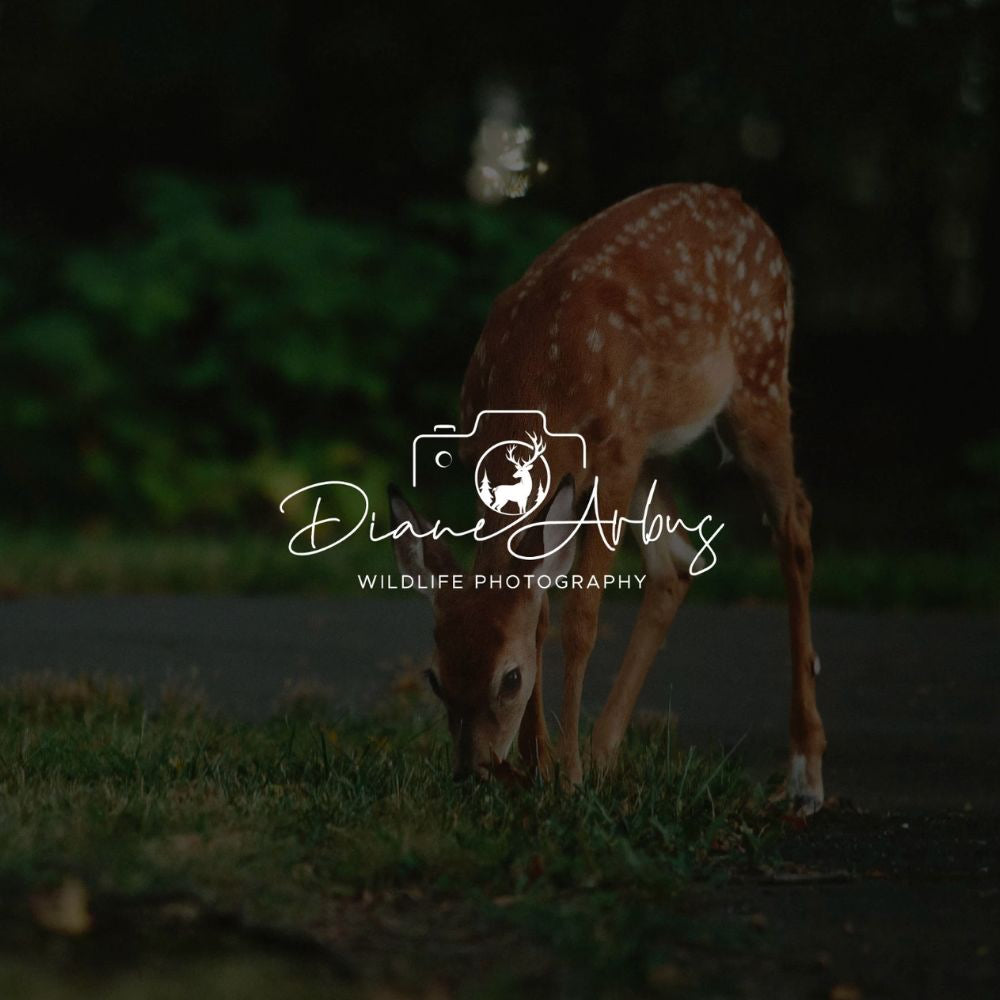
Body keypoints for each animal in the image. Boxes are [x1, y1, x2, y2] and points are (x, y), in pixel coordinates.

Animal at [390, 182, 826, 814]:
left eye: (510, 679)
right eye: (435, 678)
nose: (473, 773)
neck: (537, 380)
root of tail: (744, 207)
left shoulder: (613, 456)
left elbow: (580, 620)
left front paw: (565, 778)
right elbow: (540, 613)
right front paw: (541, 767)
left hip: (759, 375)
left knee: (794, 525)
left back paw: (805, 774)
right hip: (654, 446)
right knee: (678, 562)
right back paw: (604, 754)